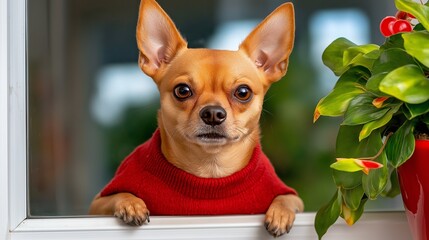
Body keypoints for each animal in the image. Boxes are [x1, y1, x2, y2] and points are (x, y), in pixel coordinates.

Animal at [89, 0, 304, 236]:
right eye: (182, 90)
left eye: (243, 92)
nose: (213, 113)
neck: (210, 170)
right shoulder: (96, 206)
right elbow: (118, 195)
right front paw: (131, 203)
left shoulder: (296, 200)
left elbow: (286, 198)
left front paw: (280, 213)